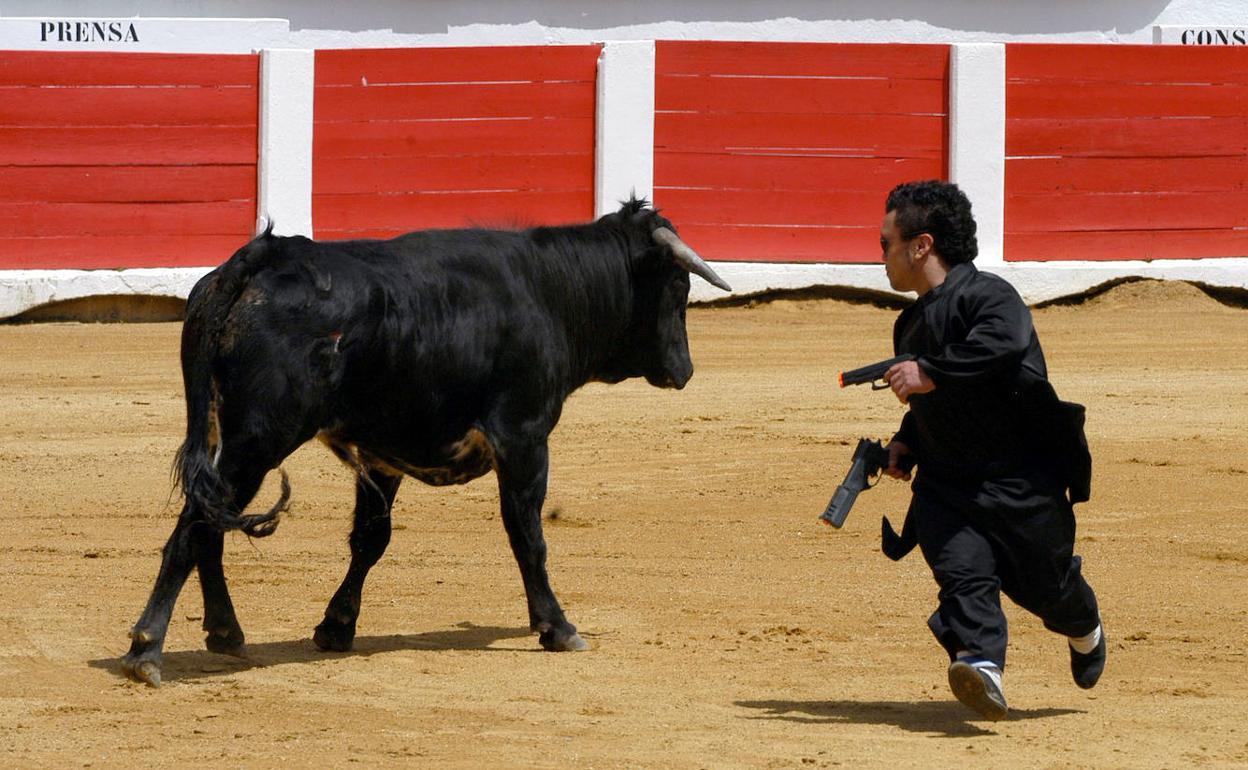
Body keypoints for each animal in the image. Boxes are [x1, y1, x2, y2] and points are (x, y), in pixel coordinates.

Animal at [120, 198, 728, 683]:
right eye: (679, 286)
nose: (685, 370)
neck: (548, 292)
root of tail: (260, 257)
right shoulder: (525, 437)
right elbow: (528, 535)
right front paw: (557, 626)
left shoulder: (382, 454)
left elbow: (370, 539)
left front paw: (336, 627)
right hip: (259, 439)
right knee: (195, 527)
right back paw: (147, 649)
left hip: (229, 437)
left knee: (211, 524)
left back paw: (225, 633)